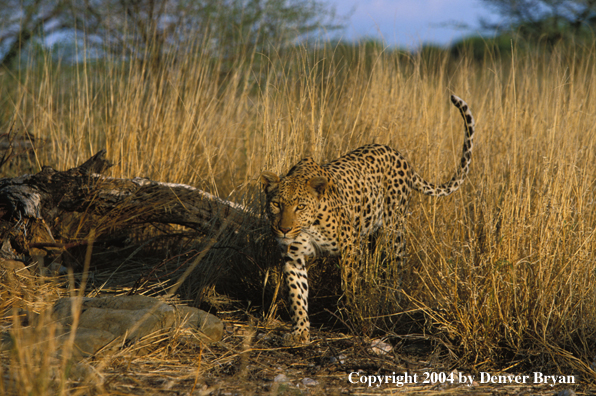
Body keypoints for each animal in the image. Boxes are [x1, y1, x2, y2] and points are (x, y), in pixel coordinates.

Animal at [260, 94, 474, 342]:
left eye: (300, 206)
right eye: (276, 204)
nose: (284, 229)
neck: (310, 226)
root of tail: (397, 154)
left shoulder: (351, 248)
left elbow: (350, 285)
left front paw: (354, 318)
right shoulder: (293, 257)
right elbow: (297, 295)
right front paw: (300, 331)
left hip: (393, 233)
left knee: (396, 268)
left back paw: (391, 305)